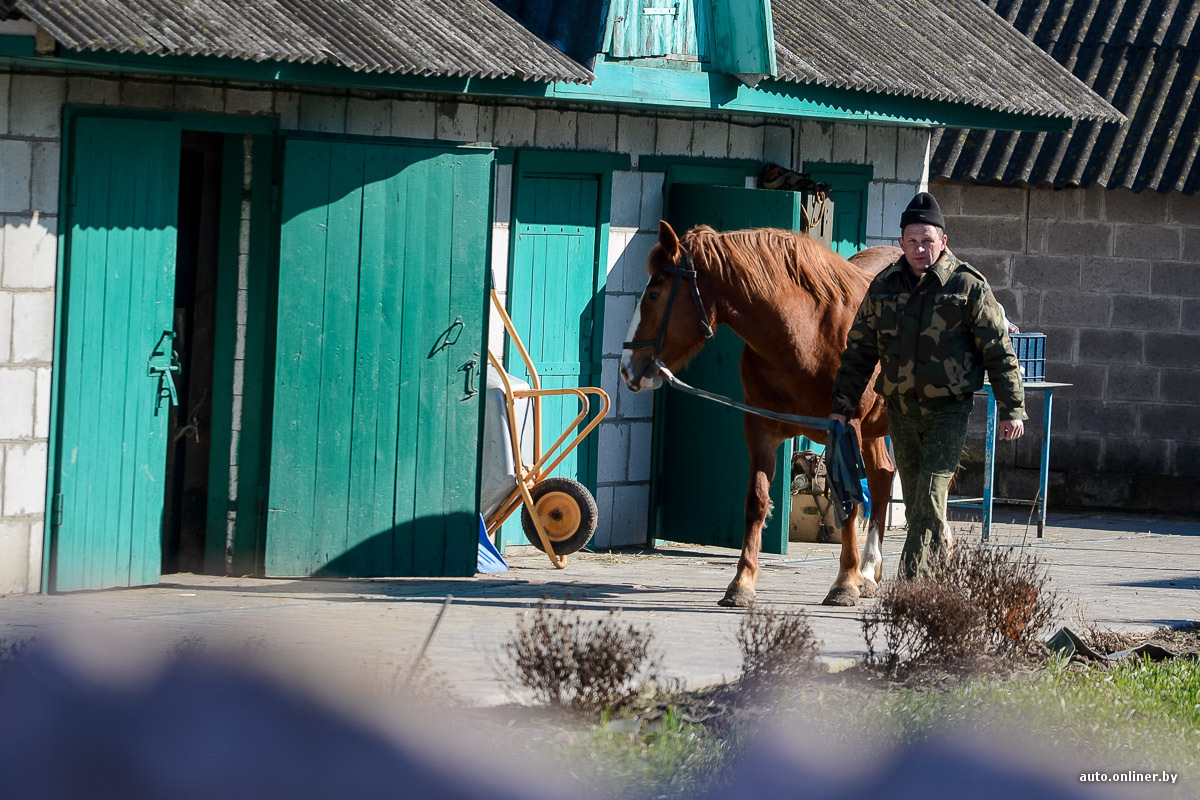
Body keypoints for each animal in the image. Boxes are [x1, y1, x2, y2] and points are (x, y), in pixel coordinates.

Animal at [628, 220, 902, 606]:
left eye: (654, 295)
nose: (628, 367)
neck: (806, 334)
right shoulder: (759, 429)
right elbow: (756, 502)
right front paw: (741, 583)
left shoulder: (845, 431)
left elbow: (847, 501)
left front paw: (844, 584)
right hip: (876, 430)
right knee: (881, 477)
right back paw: (868, 571)